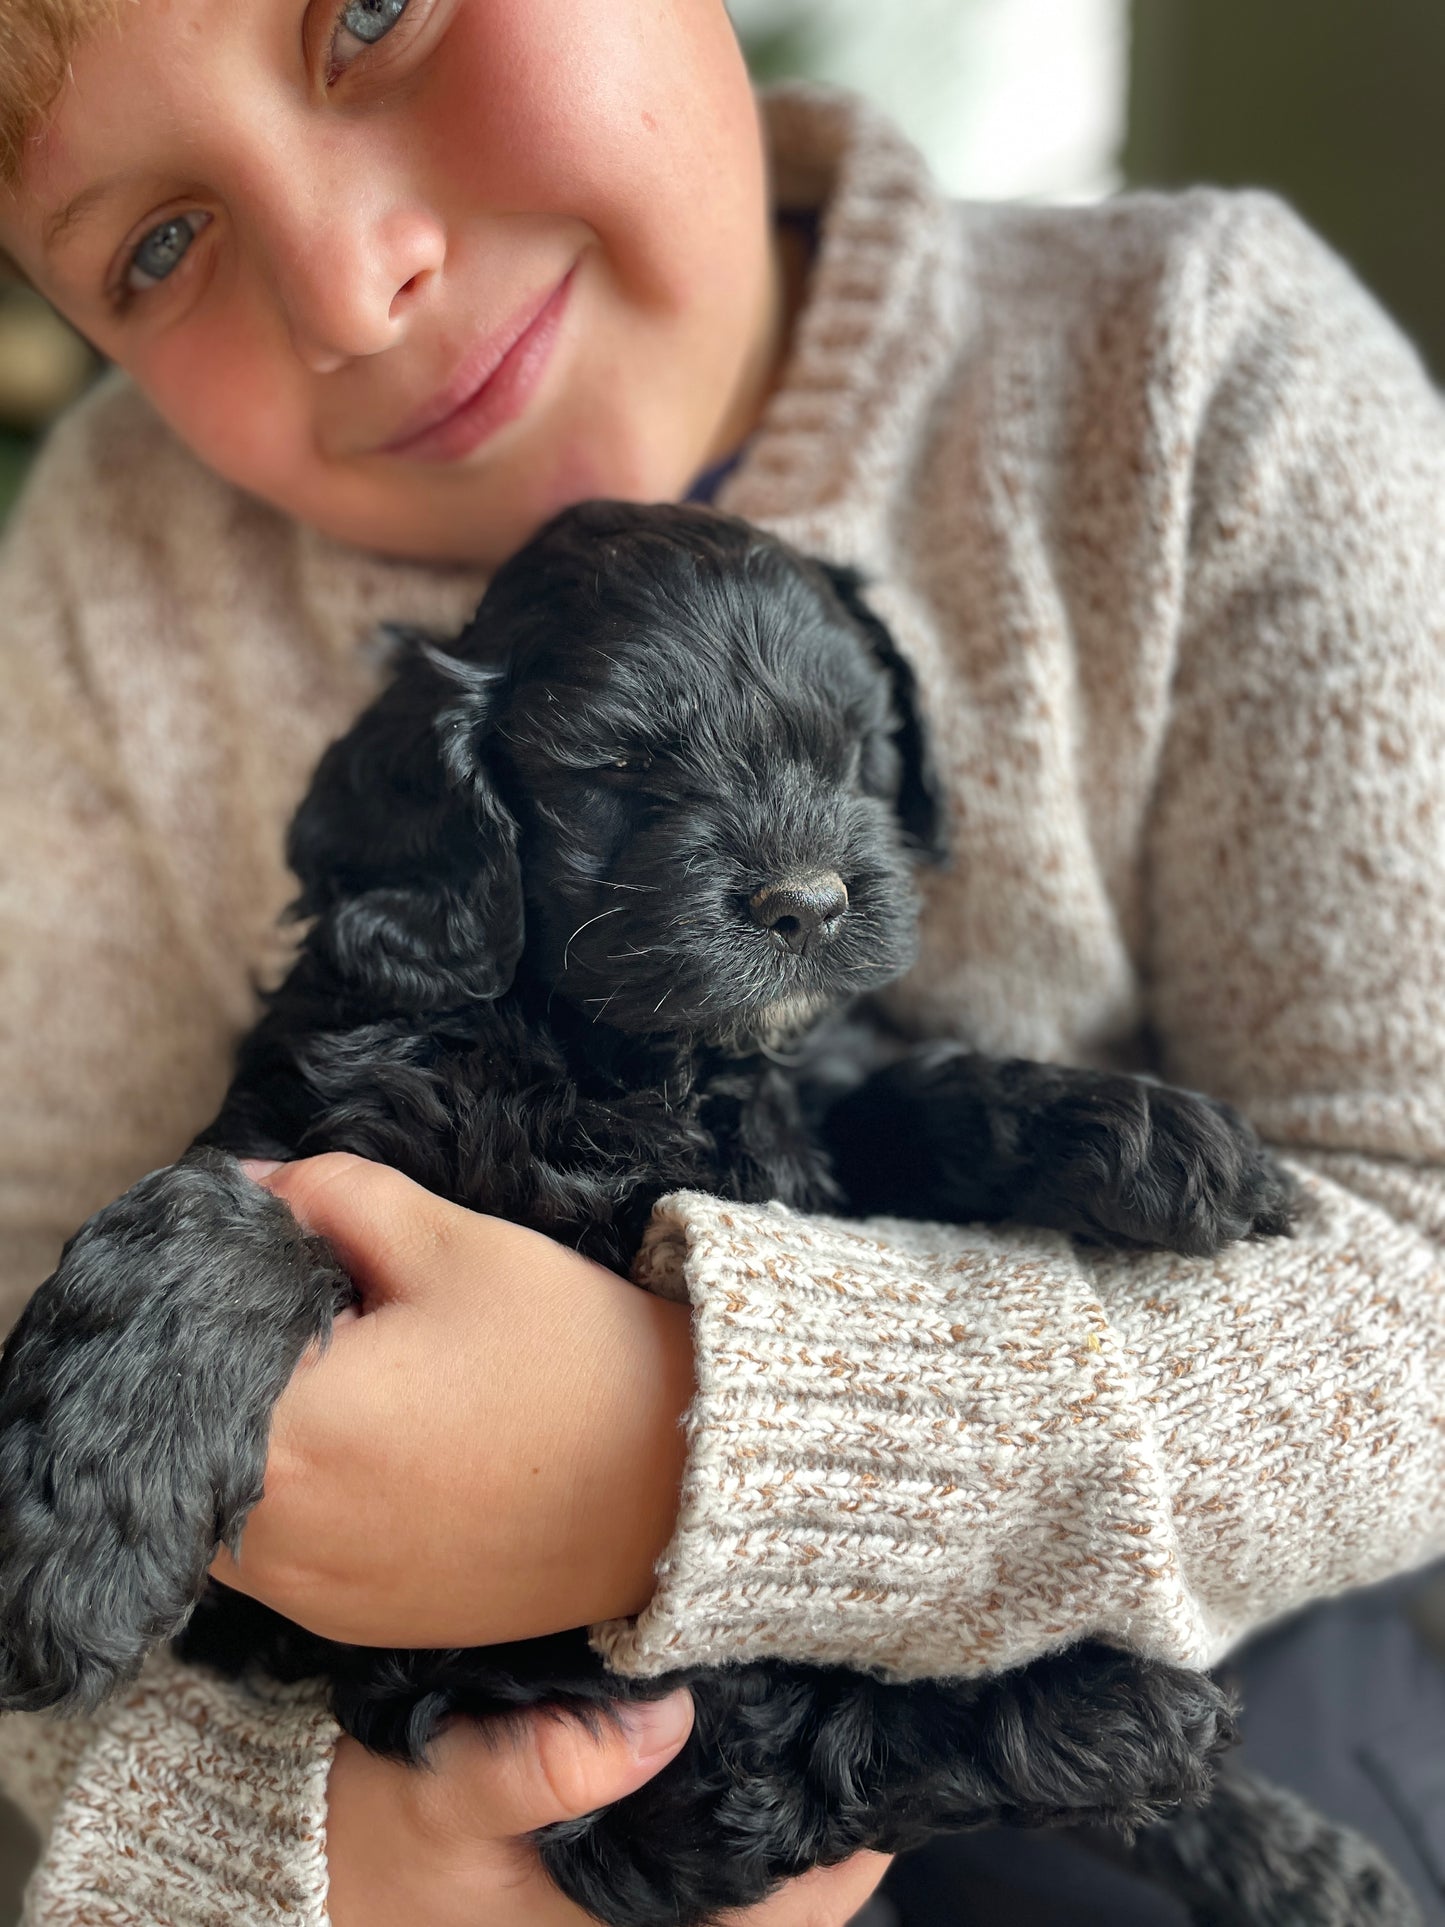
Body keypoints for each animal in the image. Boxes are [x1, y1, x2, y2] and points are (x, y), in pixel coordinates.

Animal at [0, 504, 1418, 1919]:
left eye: (850, 749)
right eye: (620, 767)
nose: (809, 902)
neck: (632, 1059)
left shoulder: (807, 1127)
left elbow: (912, 1093)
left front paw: (1145, 1132)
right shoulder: (324, 1117)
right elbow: (218, 1219)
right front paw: (78, 1527)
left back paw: (1283, 1841)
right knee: (754, 1778)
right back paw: (1116, 1713)